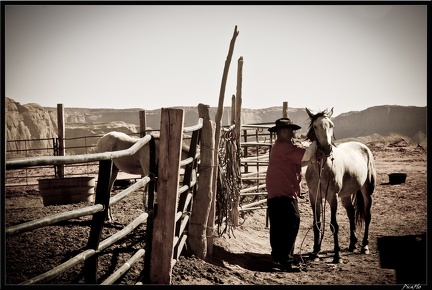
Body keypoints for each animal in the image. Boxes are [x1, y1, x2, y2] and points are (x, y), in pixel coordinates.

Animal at [306, 107, 376, 264]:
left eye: (331, 125)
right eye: (315, 126)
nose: (327, 149)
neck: (321, 168)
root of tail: (364, 147)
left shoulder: (332, 197)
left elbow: (333, 225)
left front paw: (337, 255)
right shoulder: (314, 196)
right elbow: (317, 223)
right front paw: (315, 252)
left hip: (367, 191)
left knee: (367, 215)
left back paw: (364, 246)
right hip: (345, 195)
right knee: (351, 213)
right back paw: (352, 244)